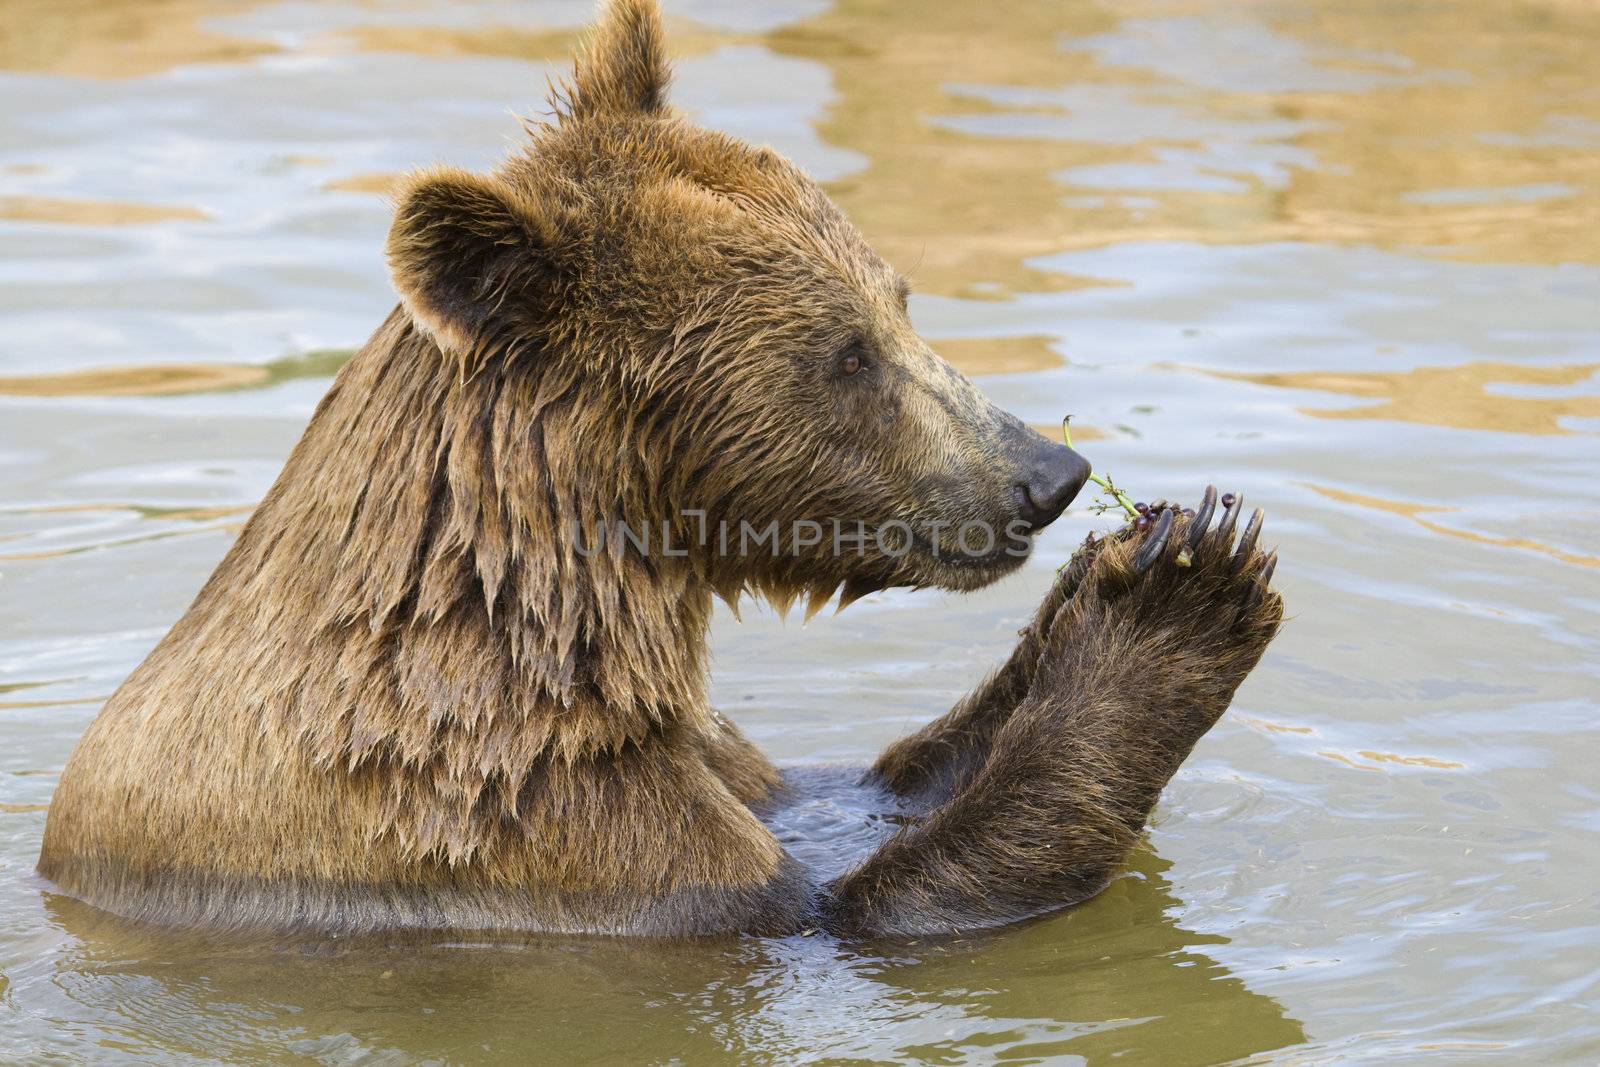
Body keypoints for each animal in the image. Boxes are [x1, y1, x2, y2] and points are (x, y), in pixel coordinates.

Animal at [37, 0, 1280, 934]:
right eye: (847, 354)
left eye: (900, 298)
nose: (1045, 474)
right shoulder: (540, 834)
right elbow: (872, 904)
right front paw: (1187, 600)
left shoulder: (707, 765)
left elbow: (854, 785)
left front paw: (1131, 558)